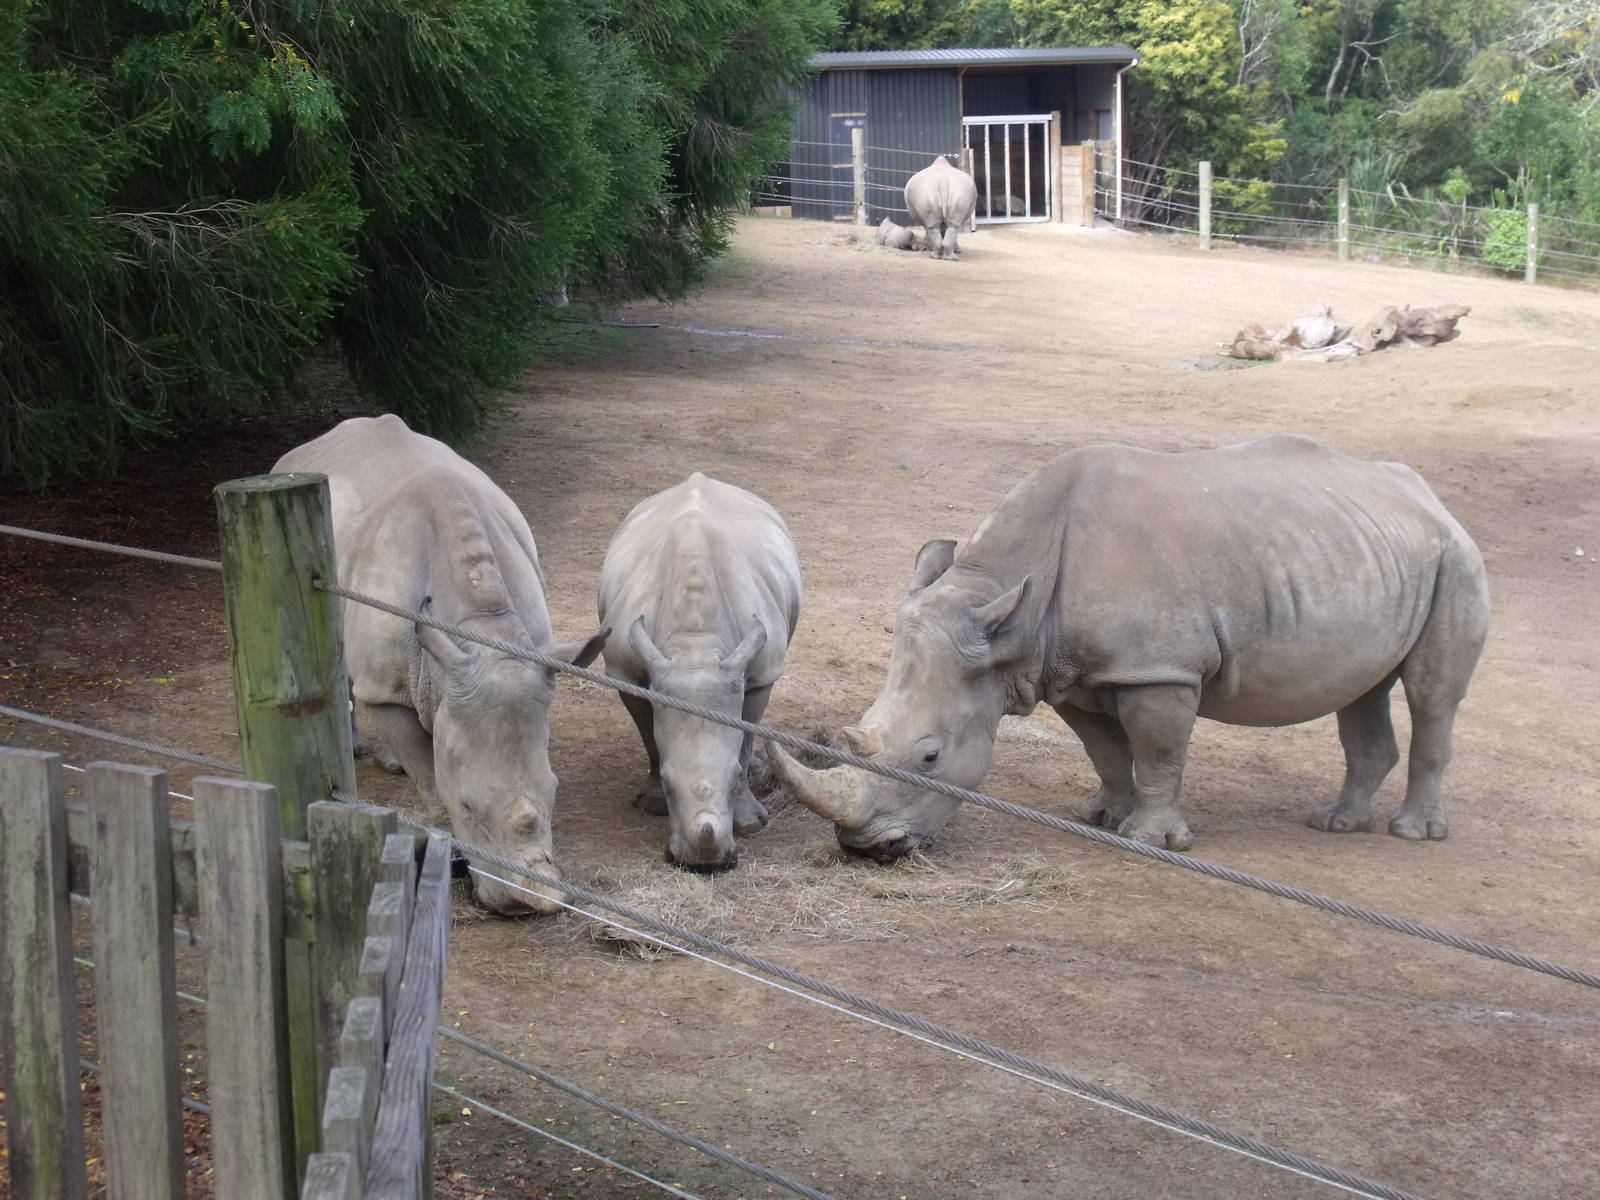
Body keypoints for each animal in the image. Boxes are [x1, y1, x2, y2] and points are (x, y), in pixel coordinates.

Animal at [275, 415, 608, 914]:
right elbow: (432, 782)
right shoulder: (394, 690)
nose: (530, 902)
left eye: (556, 791)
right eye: (467, 806)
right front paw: (445, 843)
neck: (483, 633)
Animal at [598, 473, 802, 869]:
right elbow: (650, 736)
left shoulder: (761, 672)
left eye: (735, 778)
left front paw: (750, 823)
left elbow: (745, 738)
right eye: (667, 784)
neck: (696, 647)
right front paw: (651, 804)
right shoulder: (625, 672)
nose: (706, 864)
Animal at [770, 435, 1489, 860]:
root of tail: (1429, 498)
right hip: (1375, 554)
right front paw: (1101, 816)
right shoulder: (1066, 670)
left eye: (929, 756)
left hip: (1456, 558)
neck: (1007, 598)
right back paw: (1336, 824)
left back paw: (1414, 834)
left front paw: (1151, 840)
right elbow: (1106, 748)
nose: (867, 849)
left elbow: (1159, 749)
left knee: (1432, 696)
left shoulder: (1158, 668)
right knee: (1363, 690)